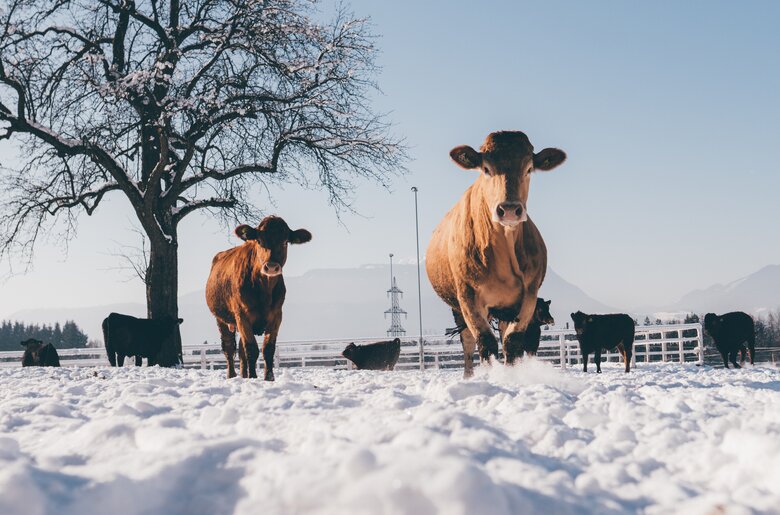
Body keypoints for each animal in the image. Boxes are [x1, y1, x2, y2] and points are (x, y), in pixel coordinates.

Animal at [206, 216, 312, 380]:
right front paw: (253, 377)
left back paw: (243, 375)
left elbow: (267, 349)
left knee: (241, 351)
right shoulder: (242, 315)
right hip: (221, 319)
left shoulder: (276, 315)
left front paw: (268, 378)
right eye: (260, 241)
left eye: (285, 241)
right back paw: (232, 376)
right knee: (229, 348)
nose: (272, 267)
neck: (264, 288)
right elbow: (251, 349)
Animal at [426, 131, 568, 376]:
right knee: (468, 343)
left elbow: (512, 341)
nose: (509, 209)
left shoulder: (528, 296)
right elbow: (485, 342)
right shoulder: (468, 296)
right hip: (458, 308)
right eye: (486, 168)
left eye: (529, 168)